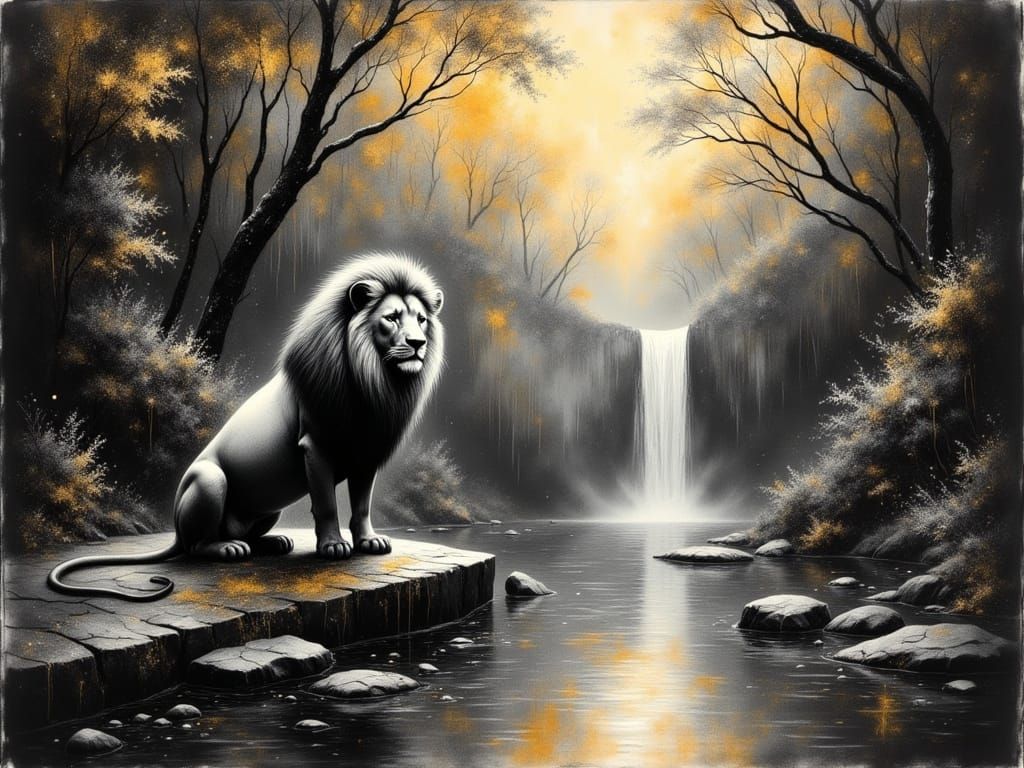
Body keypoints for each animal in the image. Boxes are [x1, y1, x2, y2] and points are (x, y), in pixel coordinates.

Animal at [47, 252, 445, 601]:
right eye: (391, 318)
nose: (418, 343)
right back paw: (228, 549)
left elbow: (361, 505)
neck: (374, 381)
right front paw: (333, 546)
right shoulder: (315, 448)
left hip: (270, 507)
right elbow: (326, 504)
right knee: (197, 545)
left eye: (421, 319)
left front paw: (369, 542)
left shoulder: (368, 451)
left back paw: (275, 542)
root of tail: (174, 527)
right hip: (209, 481)